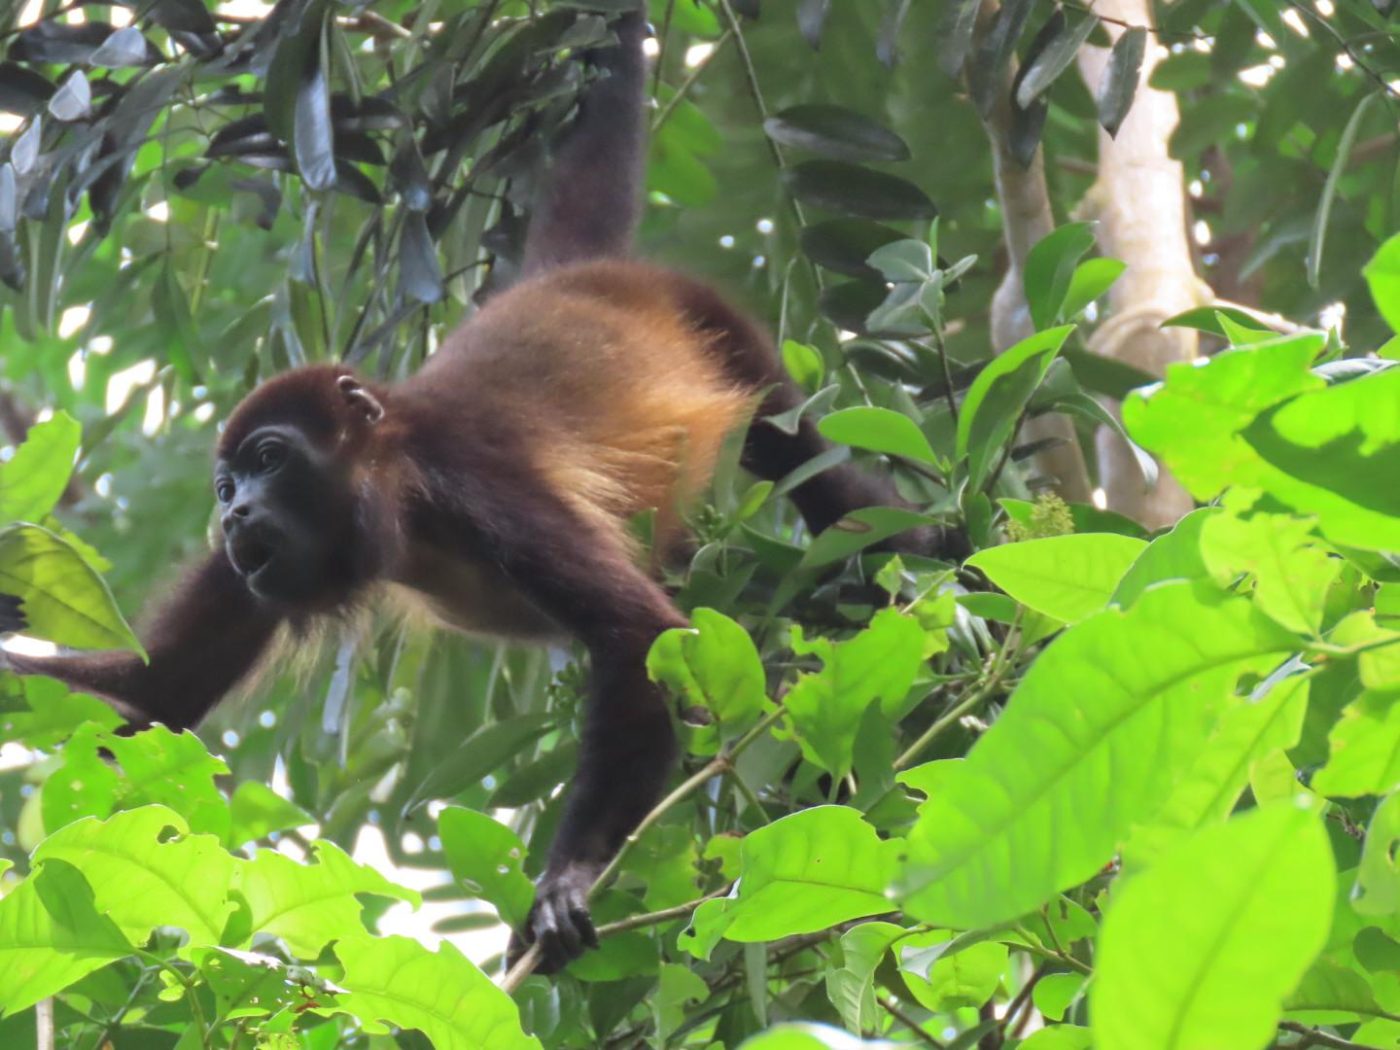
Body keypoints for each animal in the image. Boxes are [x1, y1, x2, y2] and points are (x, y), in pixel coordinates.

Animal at [0, 5, 962, 971]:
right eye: (227, 480)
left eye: (270, 459)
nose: (234, 510)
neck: (400, 496)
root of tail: (574, 277)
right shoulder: (245, 568)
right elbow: (154, 693)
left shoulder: (482, 484)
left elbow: (638, 637)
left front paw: (567, 879)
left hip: (712, 321)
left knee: (798, 455)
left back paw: (919, 547)